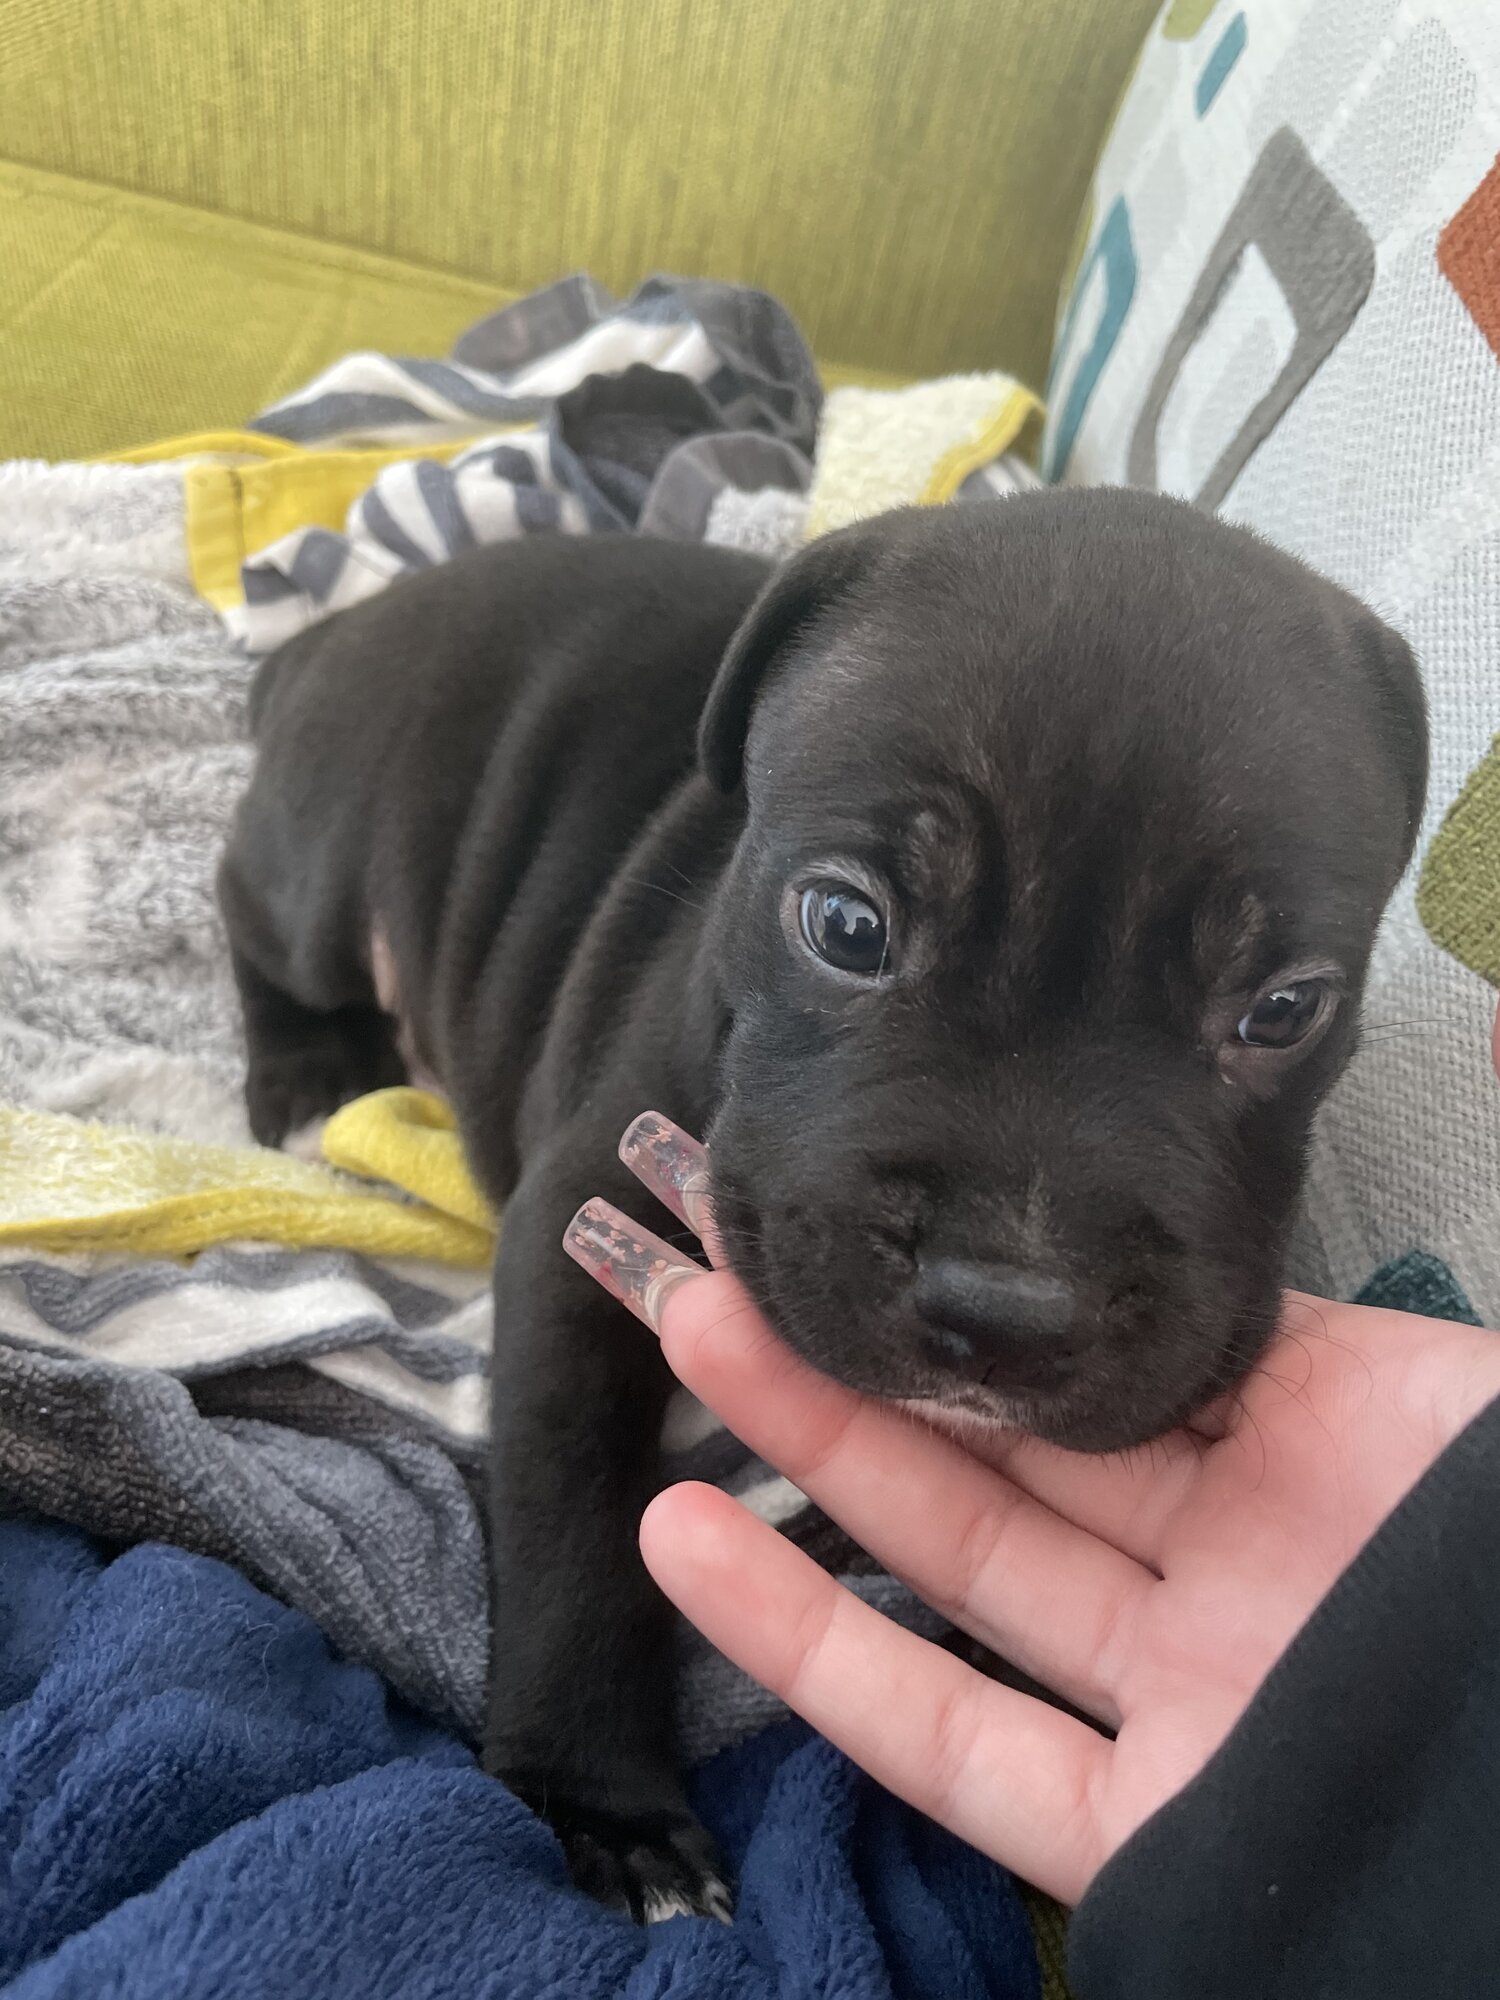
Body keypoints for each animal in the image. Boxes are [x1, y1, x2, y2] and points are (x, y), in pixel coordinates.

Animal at [220, 488, 1432, 1920]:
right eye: (848, 926)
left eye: (1286, 1009)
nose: (1006, 1303)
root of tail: (348, 624)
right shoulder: (580, 1226)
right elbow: (576, 1506)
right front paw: (599, 1797)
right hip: (334, 852)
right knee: (255, 913)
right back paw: (312, 1075)